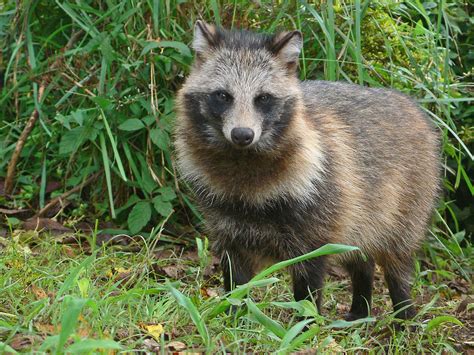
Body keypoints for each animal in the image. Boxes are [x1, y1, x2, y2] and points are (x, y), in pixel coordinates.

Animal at [174, 20, 440, 322]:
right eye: (223, 96)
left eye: (263, 98)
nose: (242, 134)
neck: (243, 162)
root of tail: (409, 103)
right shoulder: (227, 220)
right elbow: (236, 279)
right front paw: (233, 315)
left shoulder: (318, 213)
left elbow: (309, 282)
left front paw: (305, 323)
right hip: (361, 215)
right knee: (360, 259)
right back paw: (361, 306)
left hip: (406, 203)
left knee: (397, 259)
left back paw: (404, 310)